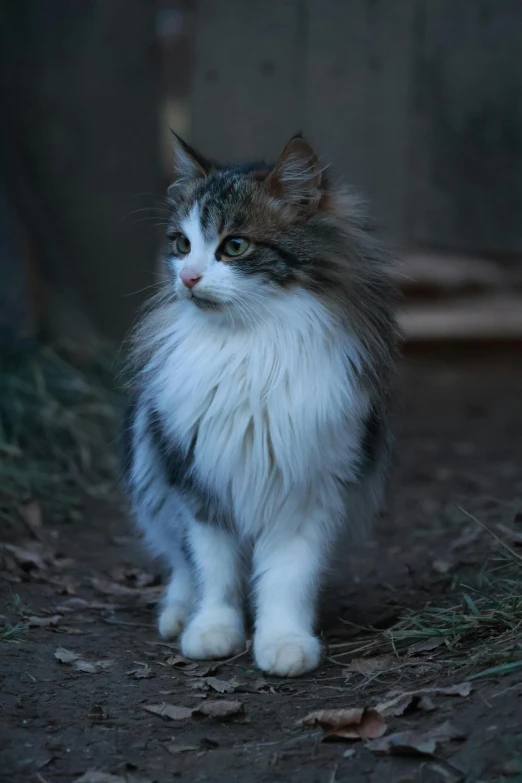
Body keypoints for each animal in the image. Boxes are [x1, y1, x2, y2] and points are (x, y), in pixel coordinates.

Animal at [122, 132, 396, 676]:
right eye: (182, 245)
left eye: (235, 246)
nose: (187, 278)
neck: (250, 346)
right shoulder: (198, 480)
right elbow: (213, 570)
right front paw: (211, 632)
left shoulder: (308, 487)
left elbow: (287, 576)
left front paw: (284, 642)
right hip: (151, 467)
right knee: (178, 563)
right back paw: (177, 616)